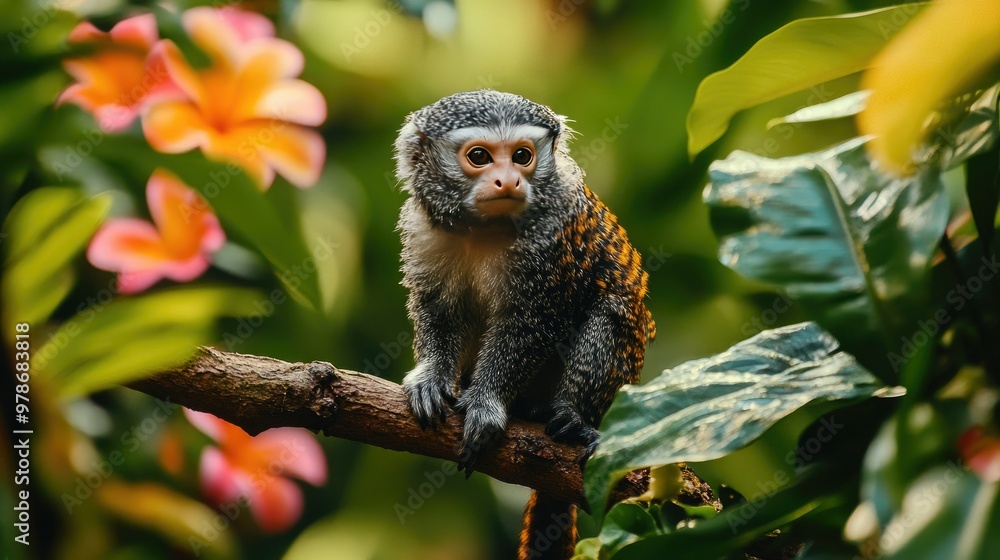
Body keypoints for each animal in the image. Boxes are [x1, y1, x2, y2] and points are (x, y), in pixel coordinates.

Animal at [394, 90, 654, 560]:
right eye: (479, 156)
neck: (484, 230)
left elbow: (535, 322)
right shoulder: (423, 229)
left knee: (612, 311)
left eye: (522, 156)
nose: (509, 180)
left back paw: (572, 419)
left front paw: (487, 403)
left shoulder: (552, 236)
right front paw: (431, 378)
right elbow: (438, 310)